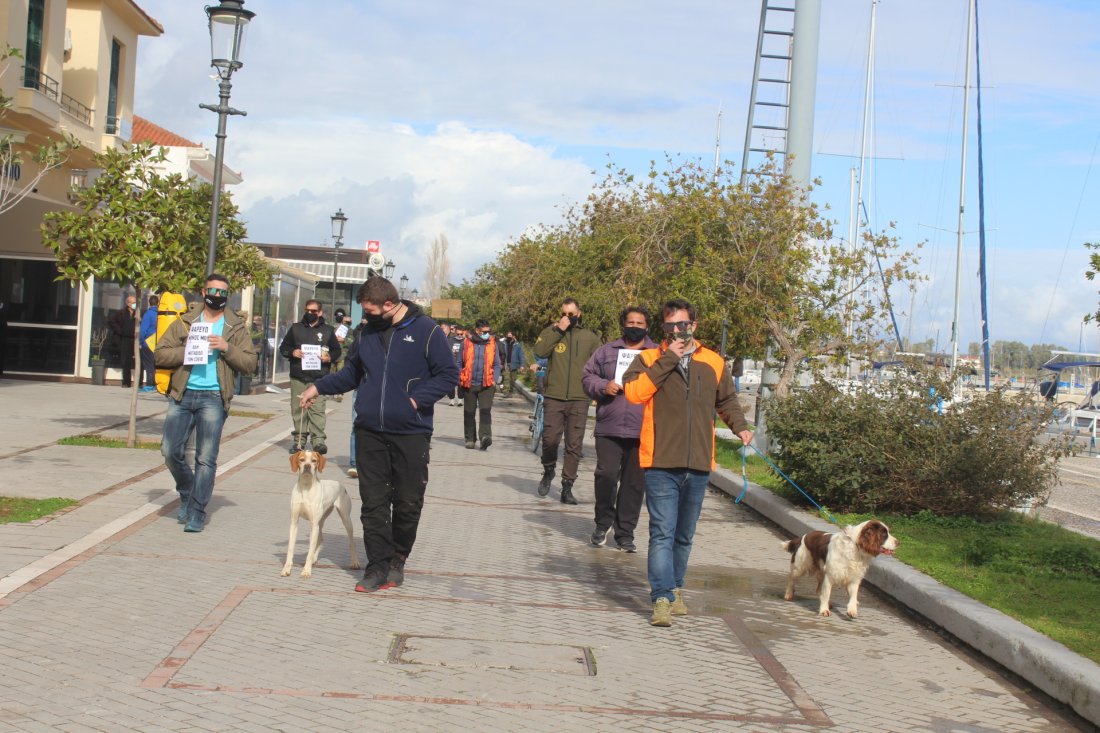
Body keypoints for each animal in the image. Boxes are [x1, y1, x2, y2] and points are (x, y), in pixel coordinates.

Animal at [282, 450, 360, 578]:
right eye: (302, 459)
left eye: (314, 461)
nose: (307, 466)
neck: (306, 487)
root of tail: (340, 484)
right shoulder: (294, 522)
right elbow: (290, 548)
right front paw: (286, 569)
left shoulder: (313, 524)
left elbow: (310, 550)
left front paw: (306, 570)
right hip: (321, 521)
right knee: (321, 539)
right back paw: (314, 558)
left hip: (345, 520)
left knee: (351, 543)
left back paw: (355, 562)